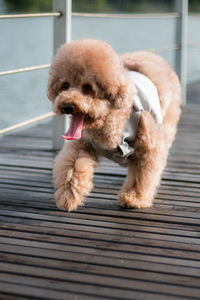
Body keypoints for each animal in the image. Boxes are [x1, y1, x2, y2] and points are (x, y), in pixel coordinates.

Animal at [47, 38, 181, 211]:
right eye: (65, 85)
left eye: (88, 87)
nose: (67, 106)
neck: (110, 121)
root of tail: (152, 55)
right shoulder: (82, 144)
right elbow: (72, 168)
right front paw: (68, 195)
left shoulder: (148, 149)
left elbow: (141, 176)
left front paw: (133, 198)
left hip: (168, 123)